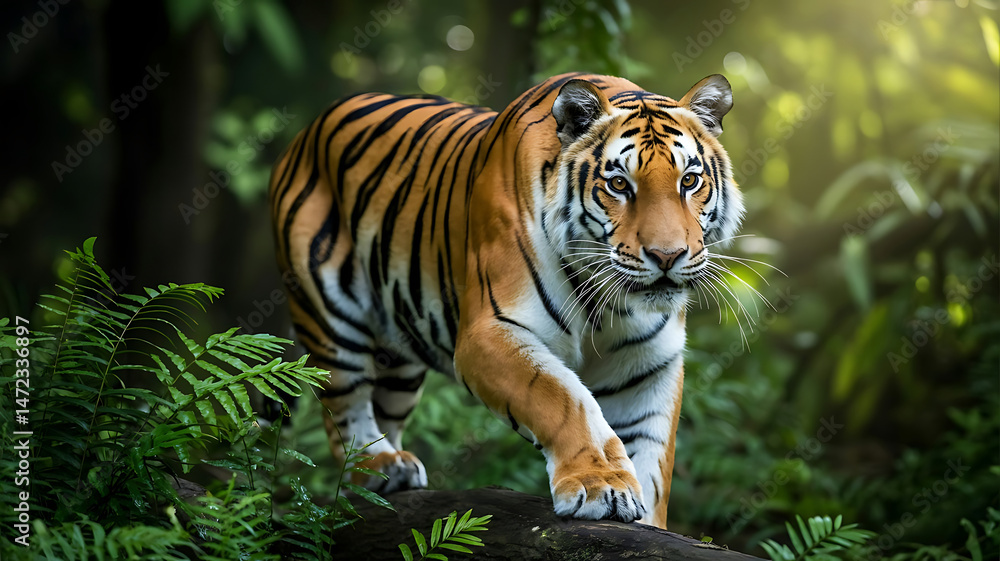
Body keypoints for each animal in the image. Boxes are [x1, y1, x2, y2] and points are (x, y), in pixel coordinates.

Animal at [268, 72, 743, 529]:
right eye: (619, 184)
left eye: (689, 180)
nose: (667, 256)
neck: (608, 302)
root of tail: (309, 128)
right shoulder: (489, 333)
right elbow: (564, 400)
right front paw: (600, 486)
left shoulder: (649, 363)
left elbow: (651, 453)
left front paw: (643, 518)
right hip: (332, 323)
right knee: (343, 413)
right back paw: (377, 466)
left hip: (398, 357)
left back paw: (396, 468)